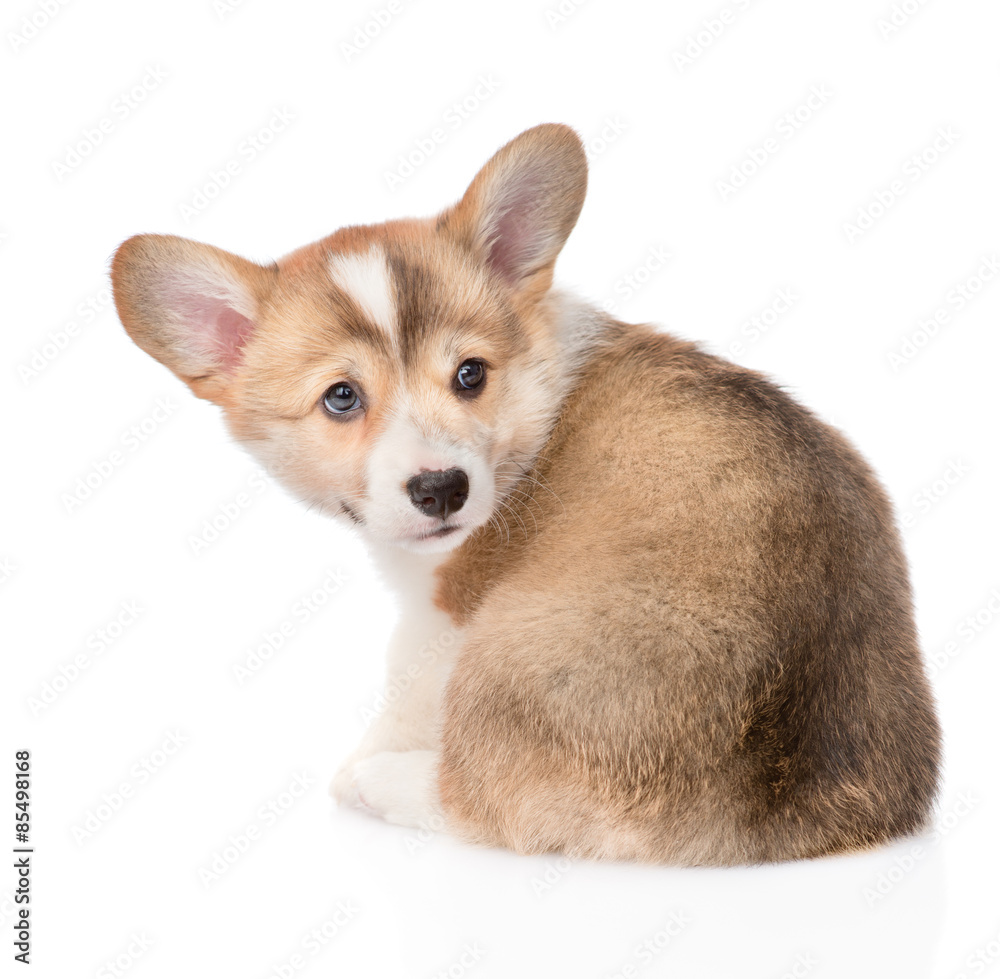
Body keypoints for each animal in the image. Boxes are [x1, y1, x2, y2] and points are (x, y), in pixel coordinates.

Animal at [113, 122, 940, 864]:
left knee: (481, 797)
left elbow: (405, 686)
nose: (441, 489)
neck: (534, 402)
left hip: (502, 650)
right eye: (341, 397)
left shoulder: (438, 620)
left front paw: (367, 756)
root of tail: (761, 802)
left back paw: (379, 781)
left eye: (470, 374)